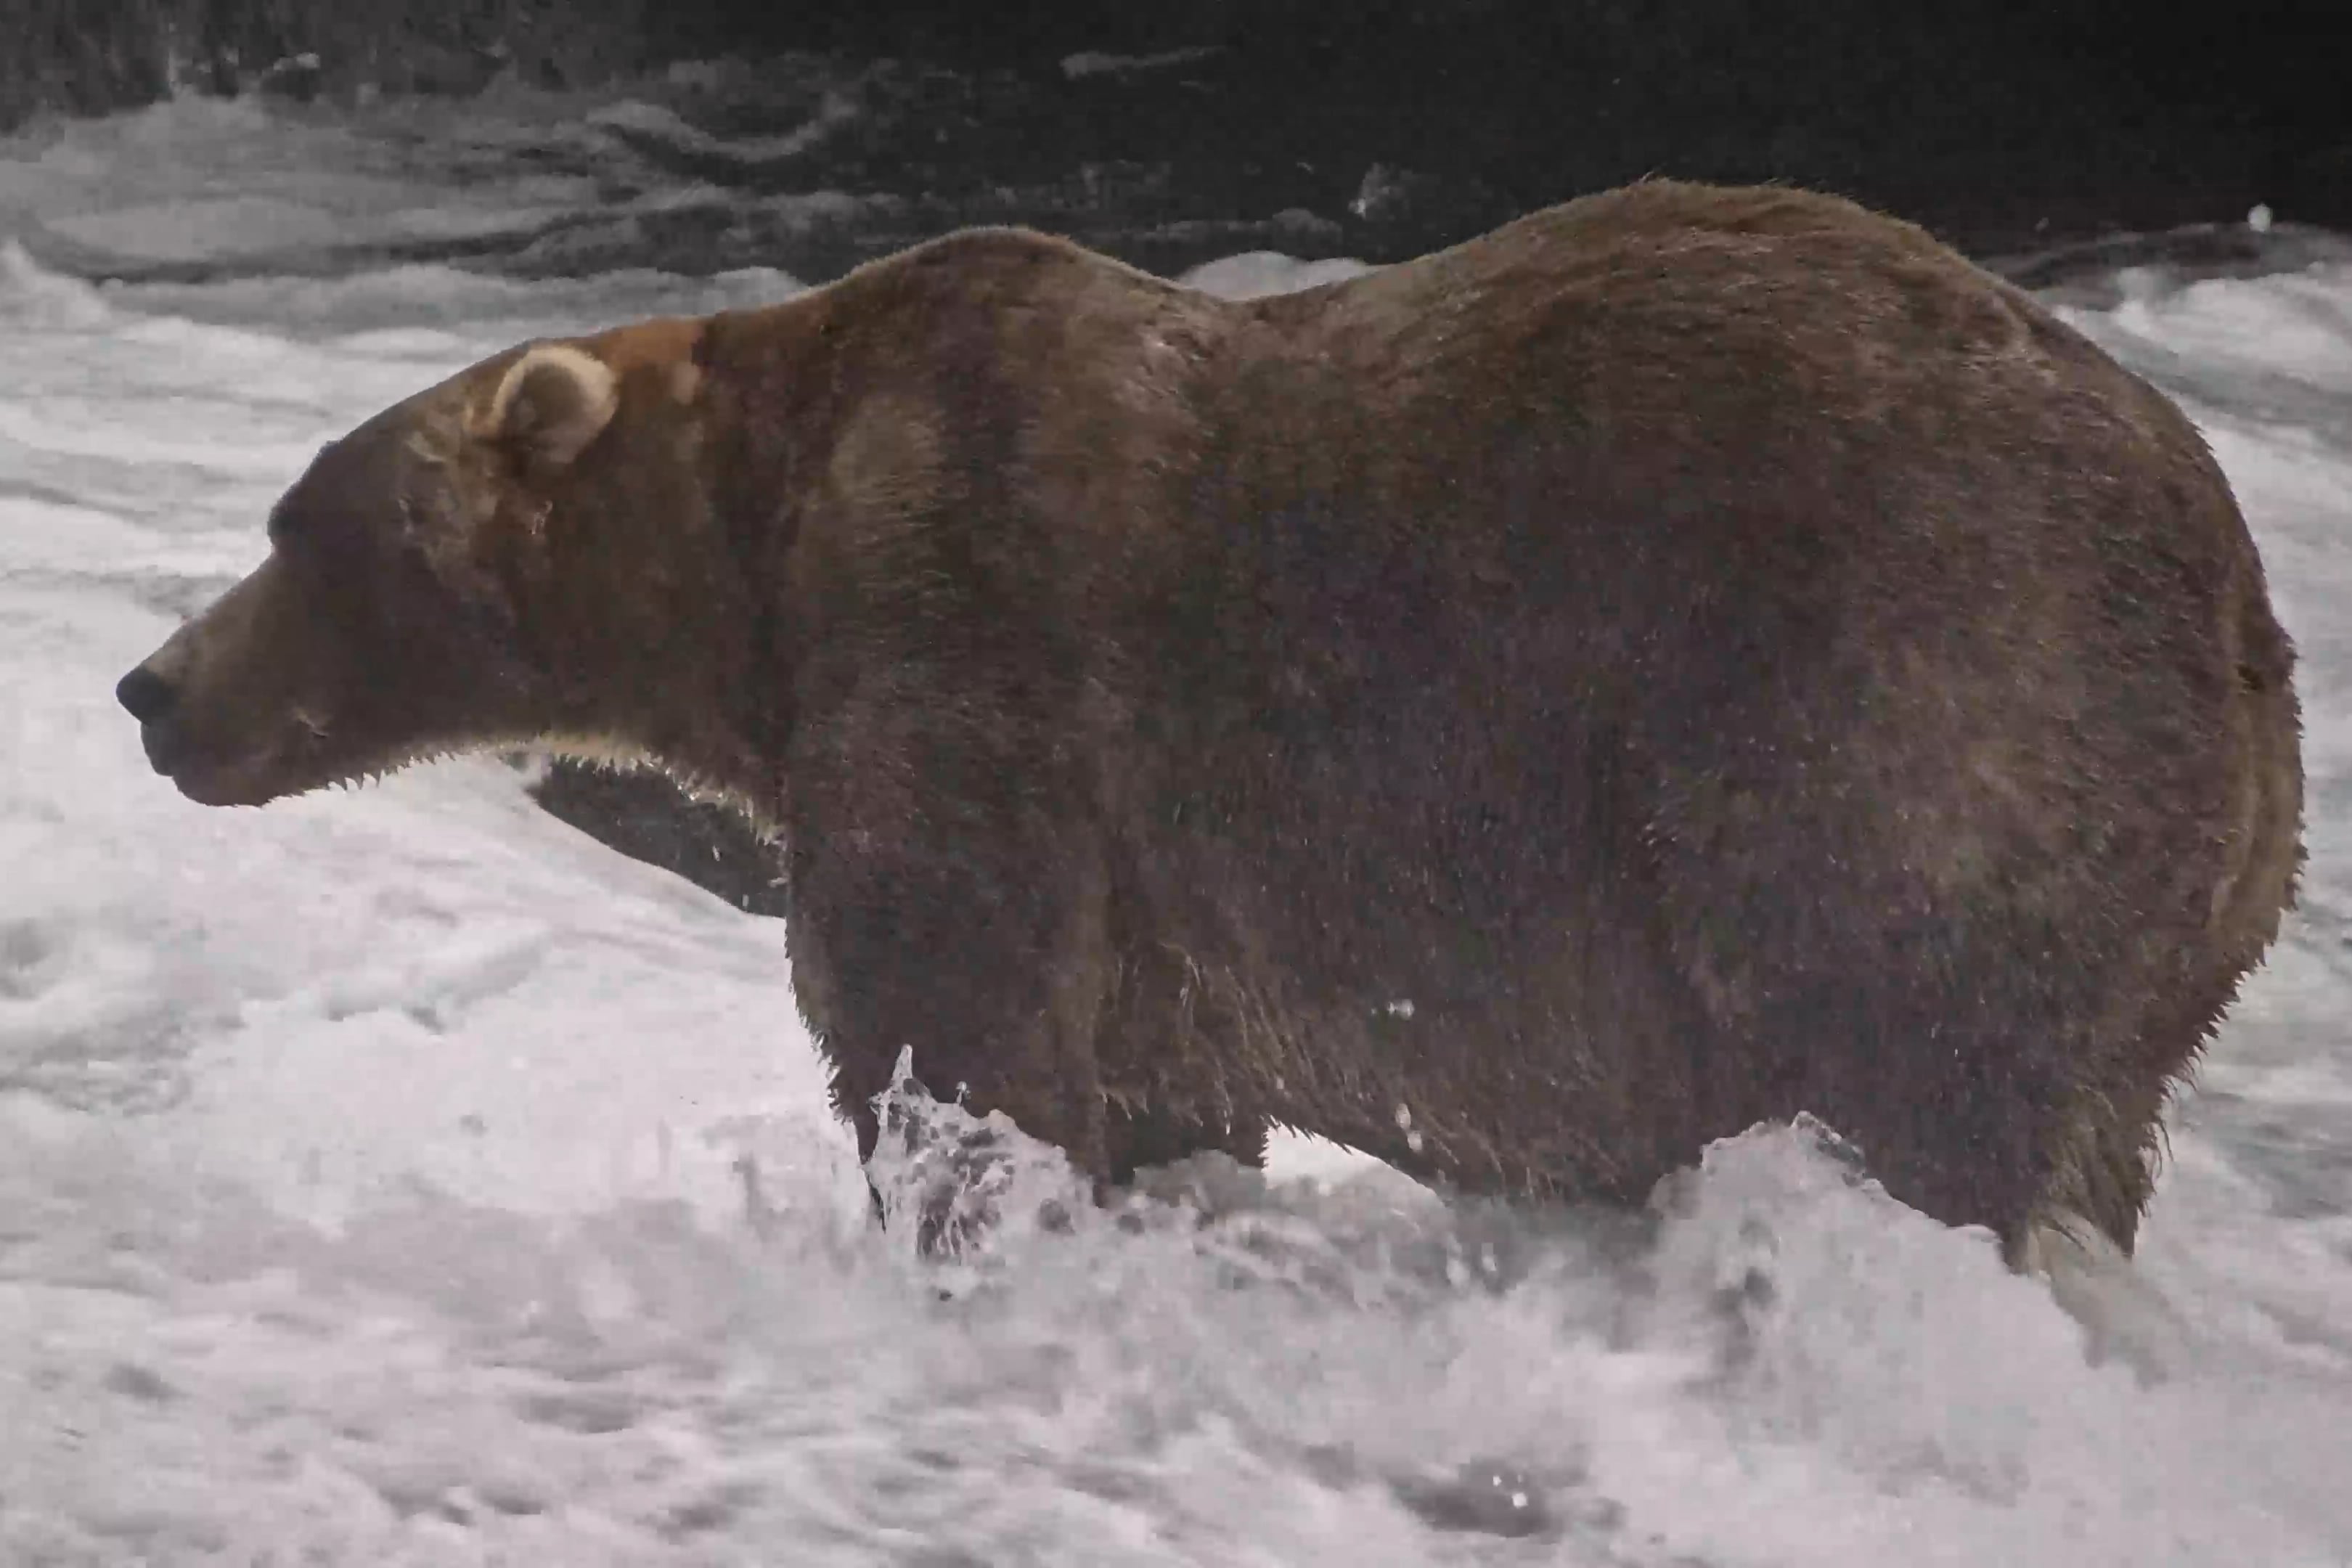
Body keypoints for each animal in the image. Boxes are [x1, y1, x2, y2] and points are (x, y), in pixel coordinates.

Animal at [116, 179, 2303, 1264]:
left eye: (298, 525)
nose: (151, 689)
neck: (753, 561)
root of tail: (2238, 593)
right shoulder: (1154, 892)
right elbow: (1152, 1082)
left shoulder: (969, 640)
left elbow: (947, 1020)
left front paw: (955, 1220)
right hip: (2177, 904)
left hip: (1901, 704)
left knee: (1898, 1051)